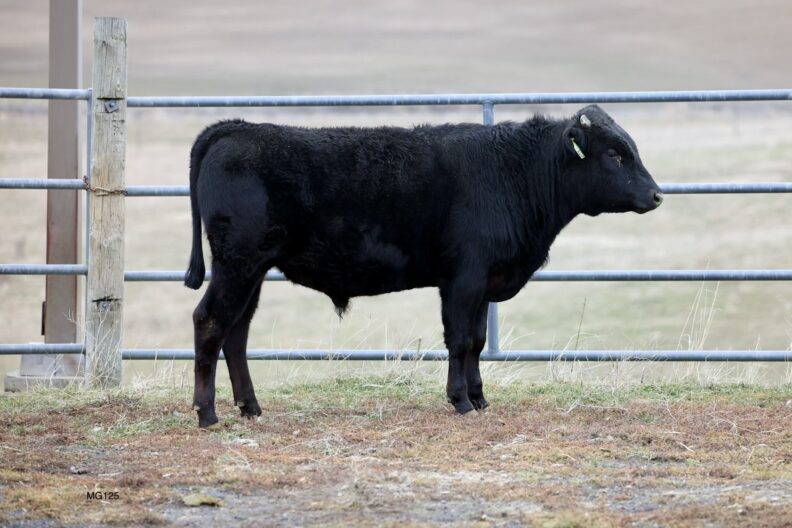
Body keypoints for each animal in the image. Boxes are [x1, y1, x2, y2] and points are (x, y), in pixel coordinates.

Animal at [184, 104, 663, 428]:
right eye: (614, 155)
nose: (657, 194)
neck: (515, 173)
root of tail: (236, 128)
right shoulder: (463, 280)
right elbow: (458, 339)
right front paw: (461, 400)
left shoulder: (482, 284)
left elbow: (476, 341)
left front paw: (479, 397)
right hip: (238, 265)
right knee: (210, 322)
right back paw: (207, 412)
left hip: (253, 271)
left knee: (237, 333)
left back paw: (250, 407)